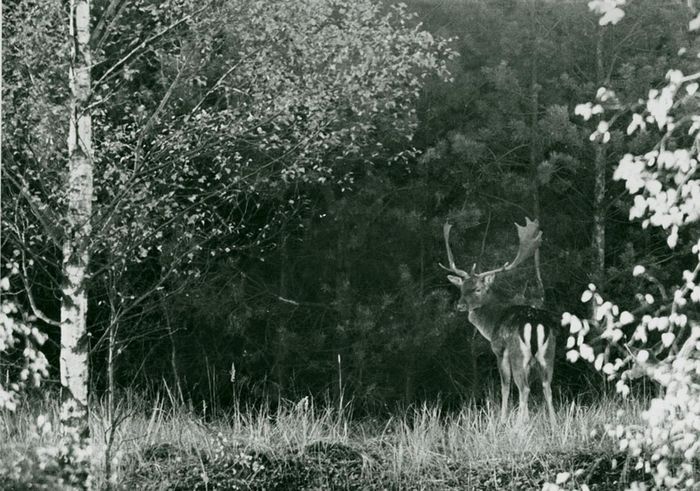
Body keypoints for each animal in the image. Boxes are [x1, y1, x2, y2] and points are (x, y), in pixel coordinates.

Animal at [442, 219, 556, 430]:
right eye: (462, 288)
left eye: (478, 289)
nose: (460, 305)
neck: (492, 322)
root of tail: (535, 324)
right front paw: (526, 419)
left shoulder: (499, 350)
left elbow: (505, 386)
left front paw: (503, 420)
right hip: (548, 353)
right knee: (546, 386)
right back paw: (554, 424)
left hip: (518, 353)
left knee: (524, 387)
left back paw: (517, 428)